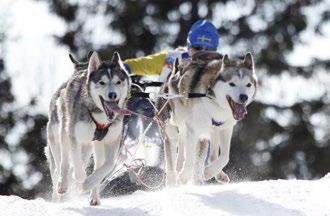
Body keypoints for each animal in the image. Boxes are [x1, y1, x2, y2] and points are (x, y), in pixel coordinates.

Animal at [45, 51, 130, 206]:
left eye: (118, 82)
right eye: (102, 82)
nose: (112, 95)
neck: (100, 117)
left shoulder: (112, 140)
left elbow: (108, 164)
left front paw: (89, 183)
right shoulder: (73, 136)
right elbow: (75, 167)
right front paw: (80, 180)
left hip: (95, 145)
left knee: (96, 164)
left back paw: (94, 195)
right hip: (60, 136)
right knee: (62, 165)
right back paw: (62, 186)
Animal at [157, 52, 258, 186]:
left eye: (248, 85)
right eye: (232, 83)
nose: (243, 97)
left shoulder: (226, 128)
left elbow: (225, 157)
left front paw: (209, 172)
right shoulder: (193, 129)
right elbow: (190, 154)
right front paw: (185, 175)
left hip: (211, 131)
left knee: (211, 154)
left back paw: (216, 173)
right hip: (180, 118)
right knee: (179, 141)